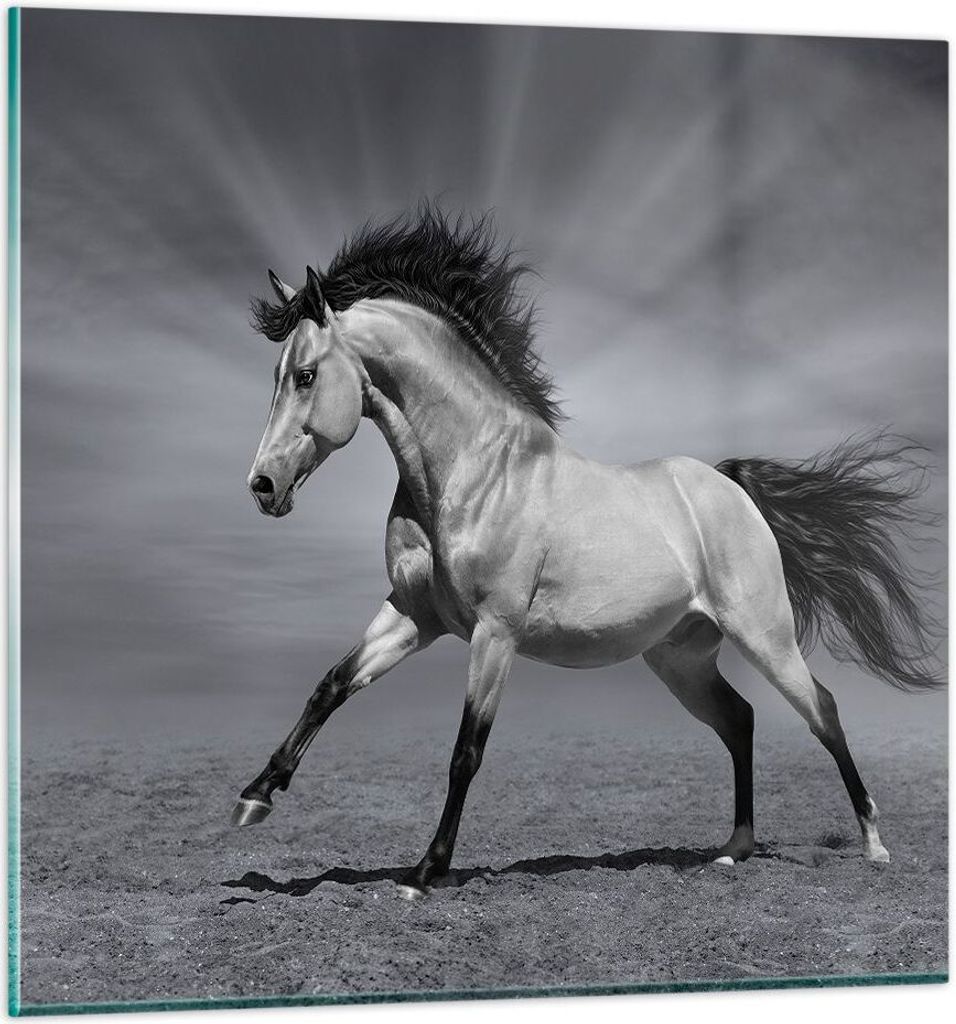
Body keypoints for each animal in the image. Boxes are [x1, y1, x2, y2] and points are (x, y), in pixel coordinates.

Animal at [231, 206, 942, 899]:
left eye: (305, 376)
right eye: (277, 375)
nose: (262, 487)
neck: (471, 473)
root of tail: (730, 487)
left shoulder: (494, 632)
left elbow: (466, 751)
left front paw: (426, 872)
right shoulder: (415, 616)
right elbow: (330, 685)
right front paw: (255, 797)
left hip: (765, 637)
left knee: (822, 710)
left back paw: (873, 846)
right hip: (680, 658)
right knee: (739, 720)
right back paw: (731, 851)